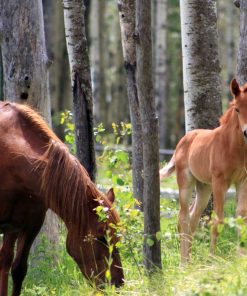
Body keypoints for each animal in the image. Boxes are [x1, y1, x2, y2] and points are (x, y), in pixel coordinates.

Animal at [160, 78, 247, 264]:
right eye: (237, 108)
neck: (234, 148)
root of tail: (182, 142)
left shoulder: (243, 180)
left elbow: (241, 217)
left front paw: (241, 257)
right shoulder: (219, 182)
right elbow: (218, 219)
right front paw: (211, 259)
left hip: (204, 188)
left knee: (193, 218)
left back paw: (190, 260)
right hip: (186, 183)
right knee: (183, 218)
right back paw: (183, 262)